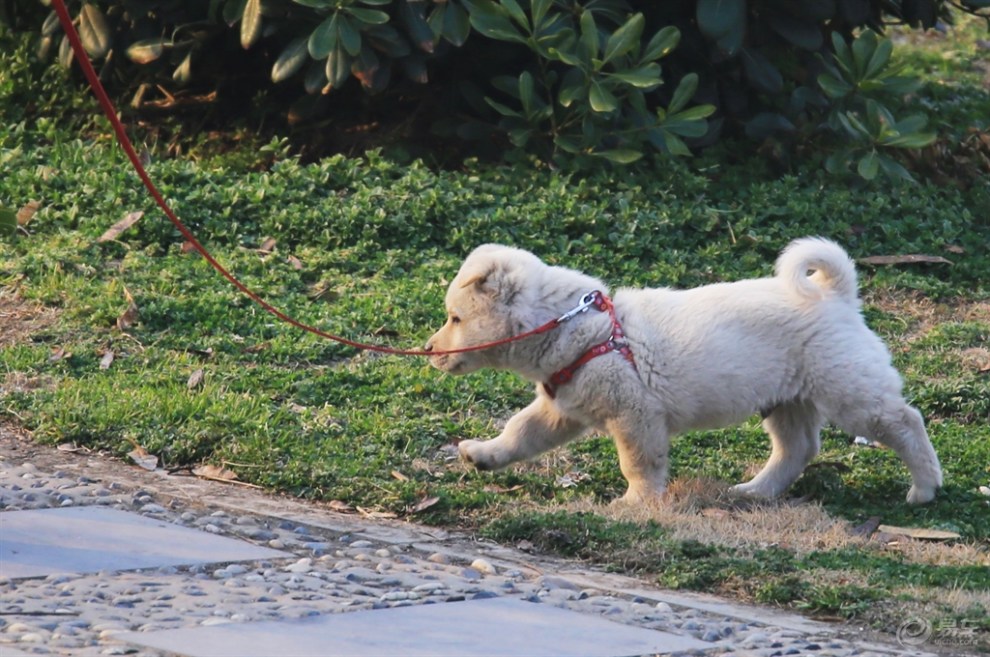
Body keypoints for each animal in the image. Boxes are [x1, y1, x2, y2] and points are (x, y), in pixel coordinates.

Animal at [426, 238, 944, 504]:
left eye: (455, 318)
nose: (429, 350)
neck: (586, 329)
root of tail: (838, 297)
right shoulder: (561, 409)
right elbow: (520, 433)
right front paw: (484, 454)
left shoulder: (636, 415)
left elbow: (638, 462)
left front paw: (637, 502)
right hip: (786, 400)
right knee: (797, 449)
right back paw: (755, 491)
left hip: (849, 392)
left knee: (904, 421)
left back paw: (924, 487)